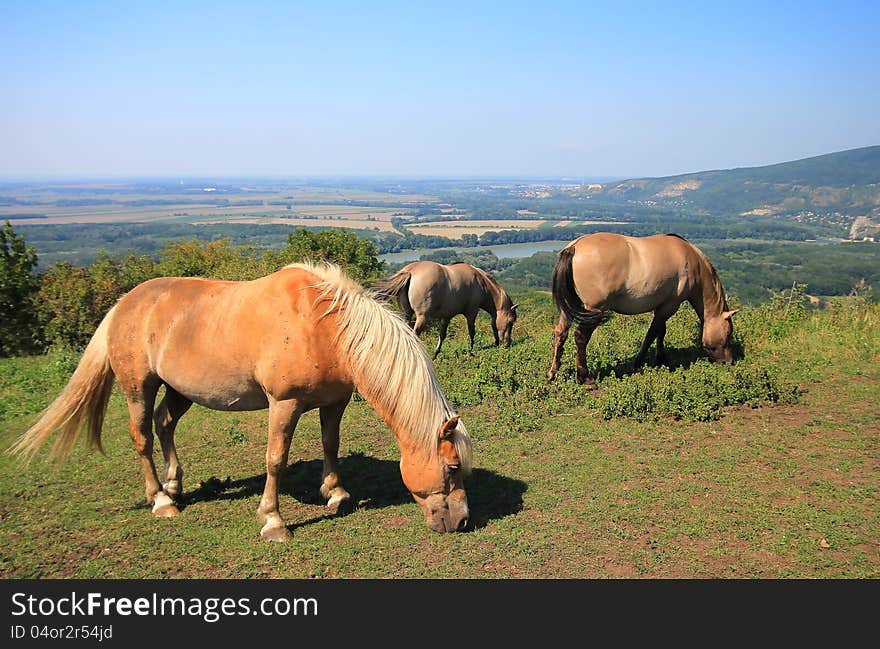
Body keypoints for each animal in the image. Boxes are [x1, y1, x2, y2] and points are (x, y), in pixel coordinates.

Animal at [8, 260, 474, 540]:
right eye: (452, 468)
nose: (463, 520)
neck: (326, 326)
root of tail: (126, 303)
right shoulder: (284, 404)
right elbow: (275, 460)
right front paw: (273, 522)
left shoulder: (334, 401)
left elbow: (331, 445)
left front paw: (336, 494)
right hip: (137, 387)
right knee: (141, 436)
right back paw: (161, 501)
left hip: (180, 391)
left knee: (164, 424)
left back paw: (175, 485)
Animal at [374, 260, 520, 360]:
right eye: (510, 321)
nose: (507, 343)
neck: (480, 283)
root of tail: (410, 271)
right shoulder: (472, 312)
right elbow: (472, 332)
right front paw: (471, 350)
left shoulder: (446, 317)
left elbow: (442, 335)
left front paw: (435, 355)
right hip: (422, 317)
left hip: (406, 314)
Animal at [548, 233, 740, 384]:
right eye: (728, 334)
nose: (728, 362)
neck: (692, 262)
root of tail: (574, 247)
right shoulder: (670, 306)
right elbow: (652, 333)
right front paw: (639, 364)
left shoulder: (662, 306)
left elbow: (661, 331)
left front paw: (661, 359)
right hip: (593, 309)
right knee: (580, 338)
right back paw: (583, 377)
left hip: (569, 308)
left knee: (561, 333)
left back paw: (553, 373)